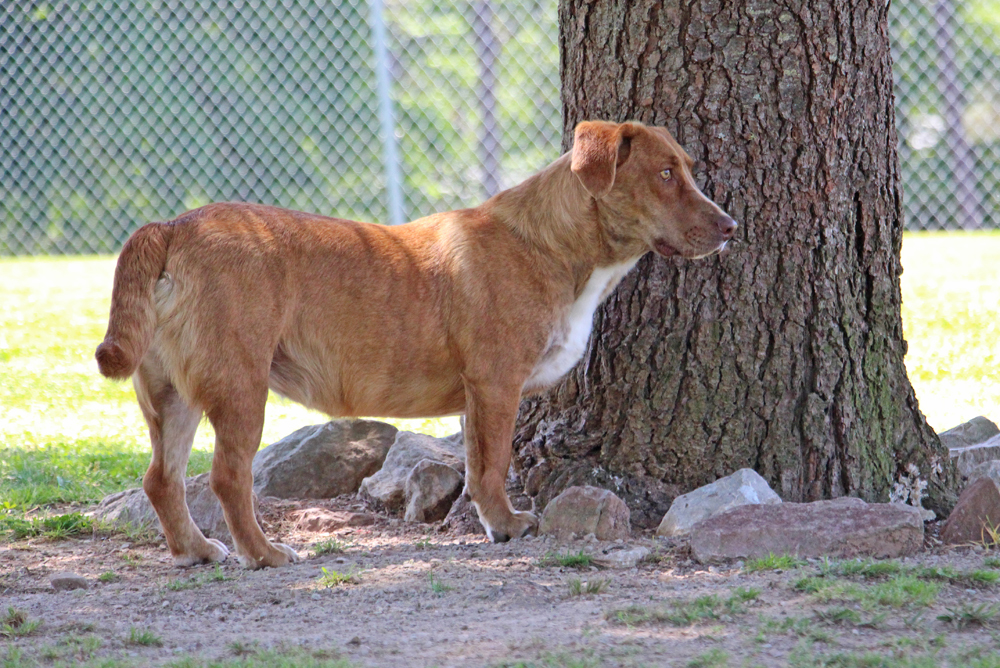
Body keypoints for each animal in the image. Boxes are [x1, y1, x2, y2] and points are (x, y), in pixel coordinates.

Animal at [95, 121, 736, 568]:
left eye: (686, 168)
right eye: (665, 174)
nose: (731, 227)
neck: (557, 246)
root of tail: (173, 225)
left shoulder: (480, 397)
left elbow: (477, 466)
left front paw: (494, 524)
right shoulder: (496, 384)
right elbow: (494, 465)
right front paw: (508, 524)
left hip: (171, 394)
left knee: (162, 479)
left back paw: (197, 550)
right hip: (239, 386)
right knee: (229, 478)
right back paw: (266, 554)